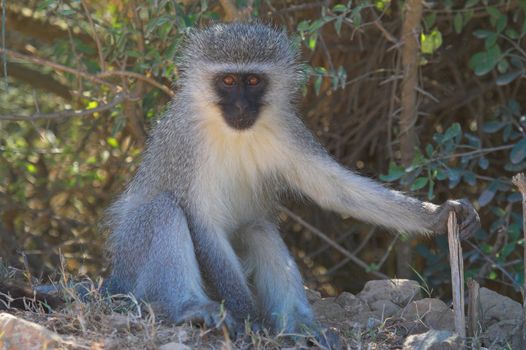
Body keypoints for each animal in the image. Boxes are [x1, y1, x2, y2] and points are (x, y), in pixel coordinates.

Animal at [106, 23, 482, 338]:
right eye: (227, 81)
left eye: (253, 81)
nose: (240, 107)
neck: (229, 130)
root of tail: (113, 279)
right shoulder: (184, 143)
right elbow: (202, 221)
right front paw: (247, 317)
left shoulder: (289, 128)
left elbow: (334, 189)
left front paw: (438, 215)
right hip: (132, 265)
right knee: (162, 210)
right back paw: (192, 308)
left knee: (259, 229)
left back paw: (298, 326)